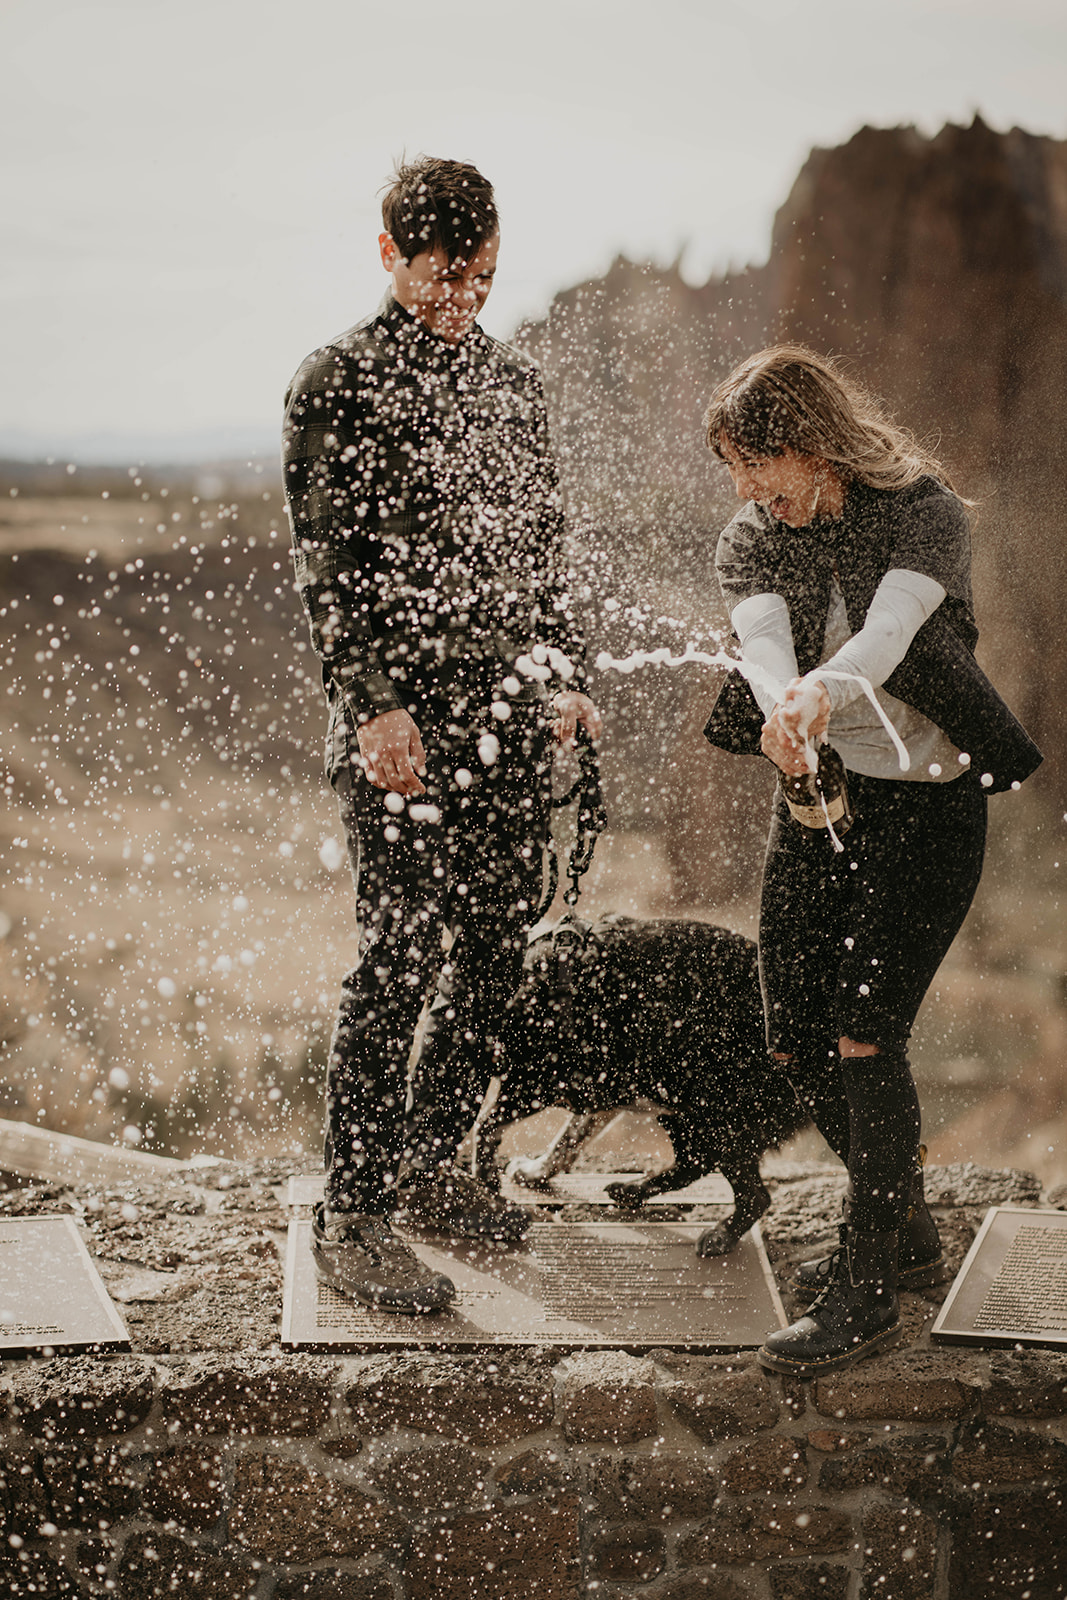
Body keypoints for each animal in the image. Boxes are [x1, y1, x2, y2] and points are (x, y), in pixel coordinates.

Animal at [476, 908, 809, 1254]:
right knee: (698, 1167)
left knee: (750, 1194)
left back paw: (720, 1233)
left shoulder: (536, 1083)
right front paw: (534, 1172)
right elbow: (567, 1140)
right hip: (684, 1112)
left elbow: (487, 1125)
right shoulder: (603, 1088)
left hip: (715, 1115)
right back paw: (632, 1191)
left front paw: (486, 1180)